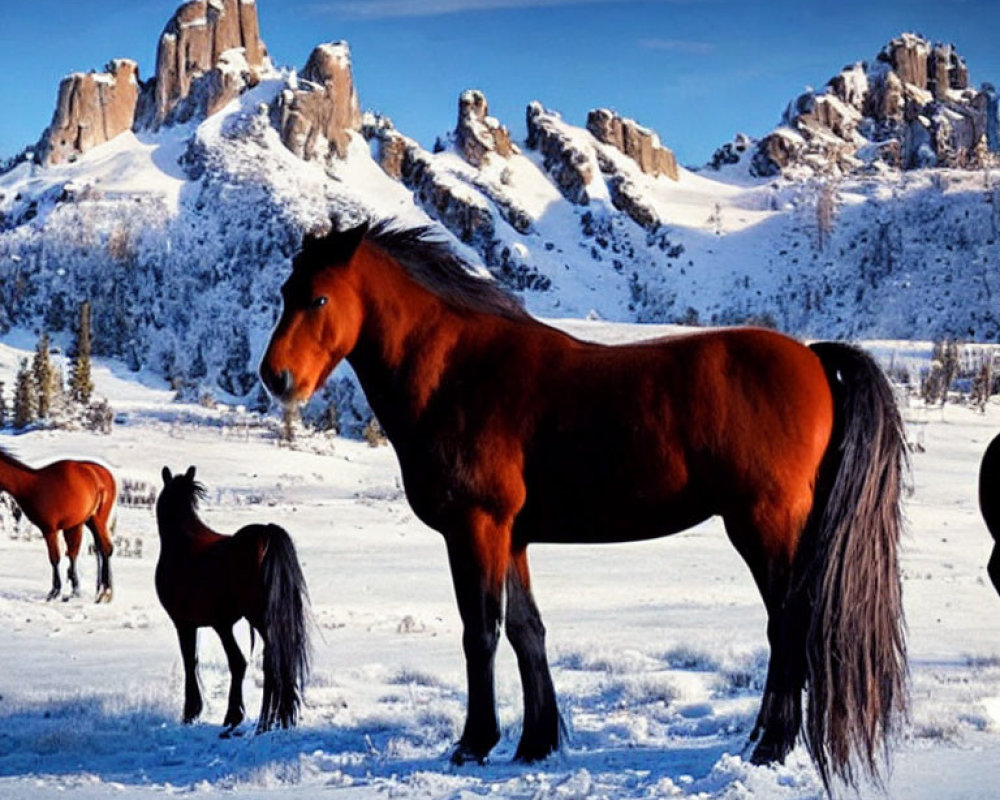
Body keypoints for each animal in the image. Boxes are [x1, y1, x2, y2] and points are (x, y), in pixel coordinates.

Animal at [0, 444, 115, 600]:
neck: (29, 487)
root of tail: (103, 475)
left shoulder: (49, 529)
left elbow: (55, 558)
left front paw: (55, 590)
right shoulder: (72, 526)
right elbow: (71, 555)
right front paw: (74, 590)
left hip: (99, 519)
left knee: (106, 548)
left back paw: (105, 591)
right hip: (90, 521)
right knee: (103, 549)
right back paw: (103, 591)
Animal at [155, 466, 308, 736]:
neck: (183, 544)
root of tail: (265, 534)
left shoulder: (187, 624)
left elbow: (195, 661)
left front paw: (195, 712)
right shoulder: (221, 624)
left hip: (258, 619)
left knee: (271, 662)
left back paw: (262, 722)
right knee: (274, 662)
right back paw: (273, 720)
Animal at [262, 220, 912, 792]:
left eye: (318, 297)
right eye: (285, 293)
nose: (276, 378)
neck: (456, 372)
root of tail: (812, 358)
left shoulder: (476, 527)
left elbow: (481, 631)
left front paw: (474, 743)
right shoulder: (512, 536)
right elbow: (526, 631)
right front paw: (535, 742)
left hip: (763, 523)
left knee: (789, 623)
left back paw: (771, 745)